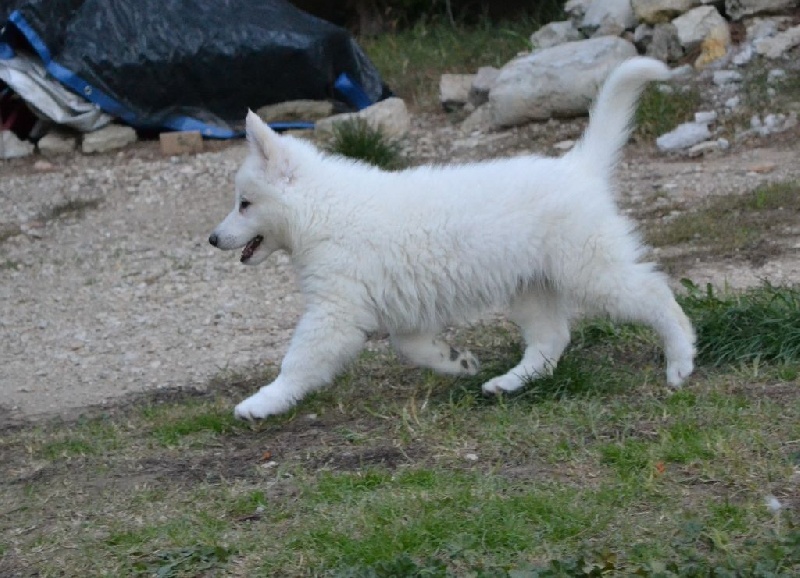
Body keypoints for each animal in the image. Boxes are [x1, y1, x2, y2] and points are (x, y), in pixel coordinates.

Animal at [209, 56, 696, 420]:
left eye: (244, 204)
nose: (213, 239)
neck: (320, 210)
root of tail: (578, 167)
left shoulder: (335, 310)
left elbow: (300, 359)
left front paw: (264, 401)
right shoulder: (395, 305)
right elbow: (409, 346)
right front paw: (455, 361)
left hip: (590, 267)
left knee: (655, 295)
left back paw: (680, 359)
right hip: (530, 284)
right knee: (551, 340)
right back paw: (508, 382)